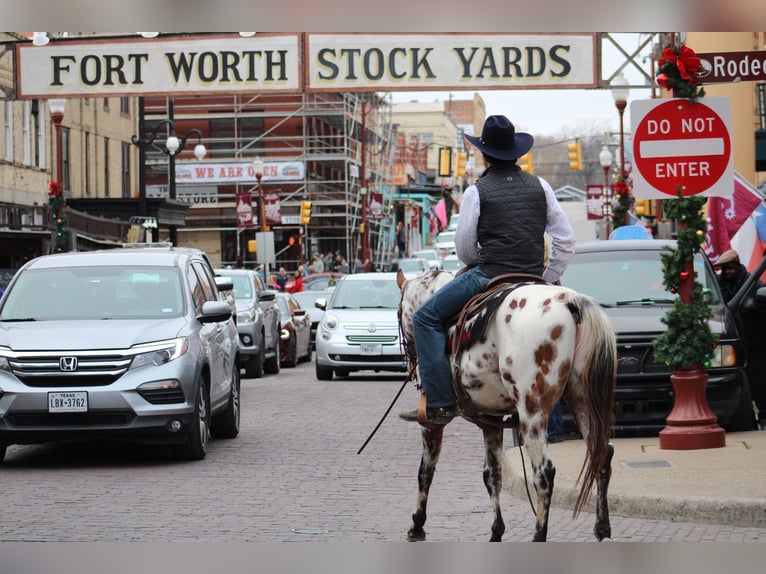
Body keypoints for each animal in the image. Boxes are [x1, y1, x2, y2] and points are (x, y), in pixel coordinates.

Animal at [396, 270, 616, 544]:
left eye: (397, 313)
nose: (409, 364)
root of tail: (571, 301)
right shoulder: (490, 421)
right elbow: (492, 474)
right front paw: (496, 531)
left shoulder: (431, 422)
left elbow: (425, 470)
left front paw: (416, 525)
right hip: (583, 402)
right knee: (602, 455)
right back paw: (602, 529)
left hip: (532, 414)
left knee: (544, 473)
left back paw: (539, 535)